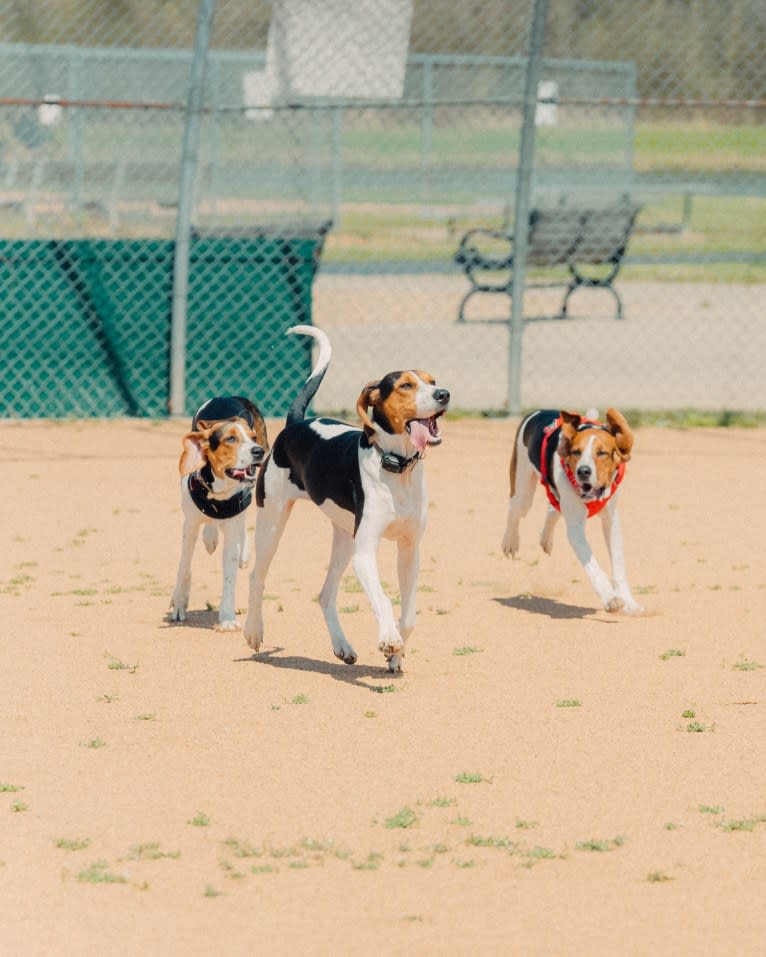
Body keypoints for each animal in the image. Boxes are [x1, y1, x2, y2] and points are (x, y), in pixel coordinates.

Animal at [171, 394, 270, 628]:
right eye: (231, 439)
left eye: (252, 437)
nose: (258, 451)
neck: (219, 492)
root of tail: (228, 396)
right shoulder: (189, 526)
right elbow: (183, 567)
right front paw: (179, 602)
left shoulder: (232, 525)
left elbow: (229, 577)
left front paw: (227, 618)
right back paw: (210, 537)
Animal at [244, 324, 450, 668]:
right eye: (406, 385)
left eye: (432, 381)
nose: (443, 394)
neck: (396, 467)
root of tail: (295, 423)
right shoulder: (365, 553)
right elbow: (382, 598)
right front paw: (389, 640)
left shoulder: (410, 550)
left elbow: (409, 616)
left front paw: (396, 656)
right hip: (271, 525)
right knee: (256, 576)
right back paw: (253, 631)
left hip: (344, 538)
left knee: (325, 594)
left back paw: (342, 645)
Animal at [504, 406, 640, 612]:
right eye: (576, 452)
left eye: (602, 453)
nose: (583, 471)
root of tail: (536, 412)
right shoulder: (576, 530)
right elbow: (594, 567)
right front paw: (610, 598)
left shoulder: (612, 521)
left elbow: (618, 567)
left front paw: (629, 602)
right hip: (523, 490)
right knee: (515, 509)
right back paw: (510, 543)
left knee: (553, 508)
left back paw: (546, 540)